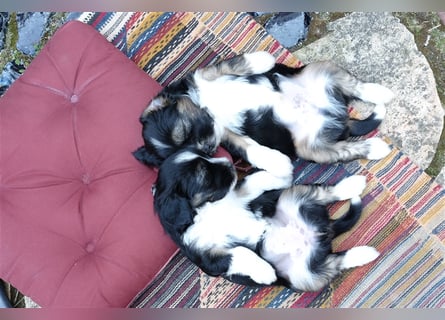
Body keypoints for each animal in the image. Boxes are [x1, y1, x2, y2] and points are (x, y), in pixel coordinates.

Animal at [133, 52, 392, 178]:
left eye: (185, 130)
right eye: (193, 149)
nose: (208, 148)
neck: (208, 110)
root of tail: (338, 117)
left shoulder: (199, 77)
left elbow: (229, 65)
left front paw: (262, 59)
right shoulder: (225, 135)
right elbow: (250, 149)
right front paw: (279, 164)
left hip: (320, 69)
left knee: (356, 85)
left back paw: (381, 92)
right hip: (311, 148)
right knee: (346, 150)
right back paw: (376, 147)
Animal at [153, 149, 378, 292]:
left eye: (207, 154)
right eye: (203, 176)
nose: (229, 164)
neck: (209, 209)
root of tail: (323, 231)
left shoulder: (241, 195)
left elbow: (254, 180)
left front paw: (281, 174)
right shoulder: (208, 258)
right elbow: (238, 252)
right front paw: (265, 271)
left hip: (293, 196)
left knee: (325, 193)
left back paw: (351, 185)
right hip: (305, 275)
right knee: (336, 263)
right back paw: (365, 253)